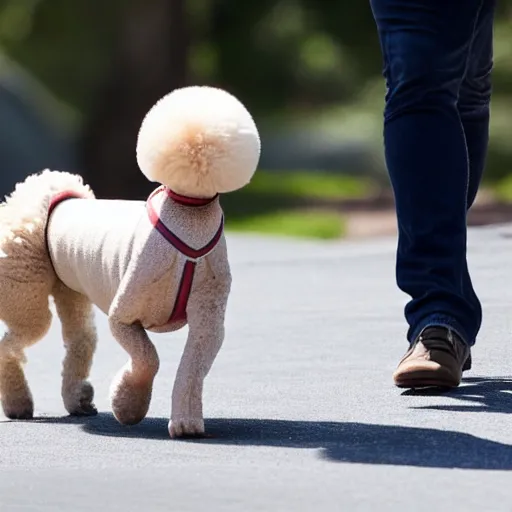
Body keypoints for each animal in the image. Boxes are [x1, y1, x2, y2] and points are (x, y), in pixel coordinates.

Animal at [0, 86, 260, 438]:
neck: (189, 215)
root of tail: (45, 192)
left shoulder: (208, 316)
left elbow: (192, 369)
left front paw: (186, 424)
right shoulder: (125, 314)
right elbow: (148, 358)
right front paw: (128, 405)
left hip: (70, 287)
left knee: (80, 339)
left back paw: (76, 399)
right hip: (25, 287)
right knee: (15, 341)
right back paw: (18, 402)